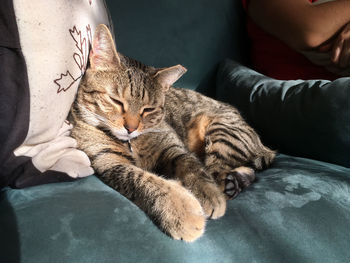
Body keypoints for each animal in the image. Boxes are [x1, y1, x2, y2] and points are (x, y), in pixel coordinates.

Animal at [69, 24, 276, 243]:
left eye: (148, 109)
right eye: (116, 101)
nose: (131, 128)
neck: (131, 143)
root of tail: (263, 144)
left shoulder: (173, 148)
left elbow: (193, 167)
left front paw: (207, 193)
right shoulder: (111, 163)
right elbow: (145, 181)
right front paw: (183, 212)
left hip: (222, 132)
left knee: (216, 171)